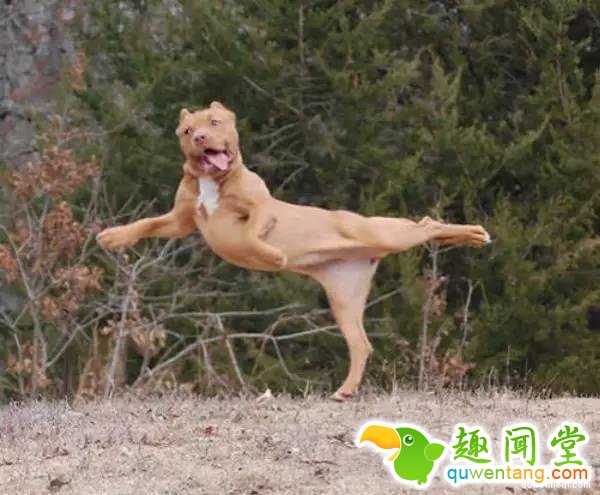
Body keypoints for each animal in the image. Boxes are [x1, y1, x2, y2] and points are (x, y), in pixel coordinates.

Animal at [97, 101, 491, 400]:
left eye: (214, 122)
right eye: (186, 131)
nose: (201, 138)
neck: (214, 181)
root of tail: (363, 249)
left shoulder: (262, 210)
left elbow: (252, 234)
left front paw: (273, 256)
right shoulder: (180, 220)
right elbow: (147, 224)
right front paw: (113, 237)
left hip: (382, 232)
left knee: (427, 225)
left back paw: (474, 234)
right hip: (344, 297)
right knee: (361, 344)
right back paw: (345, 390)